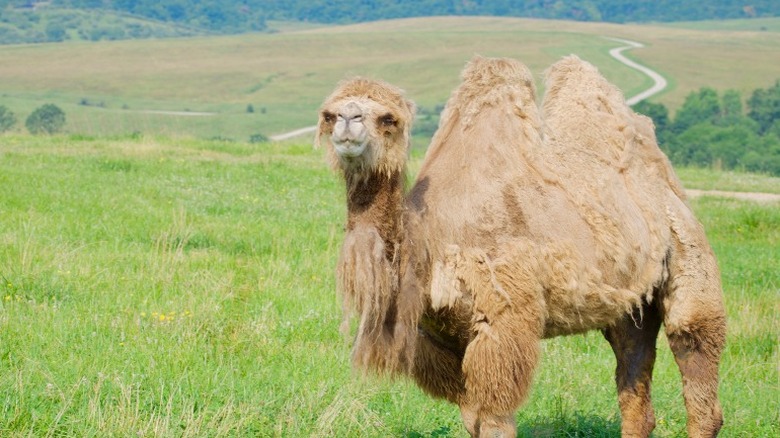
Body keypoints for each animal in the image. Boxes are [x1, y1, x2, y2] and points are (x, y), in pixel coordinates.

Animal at [316, 55, 726, 437]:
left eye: (389, 119)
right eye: (329, 114)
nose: (349, 121)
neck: (427, 243)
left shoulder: (504, 323)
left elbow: (497, 421)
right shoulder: (437, 339)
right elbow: (473, 420)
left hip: (688, 251)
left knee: (694, 343)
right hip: (629, 302)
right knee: (635, 374)